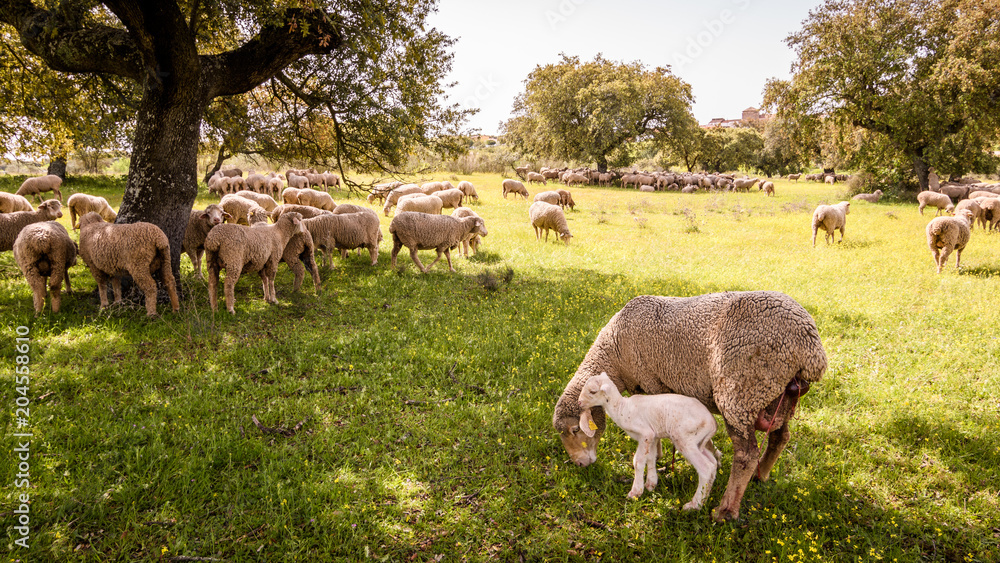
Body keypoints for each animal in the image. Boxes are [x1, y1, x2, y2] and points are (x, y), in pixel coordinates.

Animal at [578, 373, 721, 509]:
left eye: (592, 391)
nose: (579, 403)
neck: (621, 409)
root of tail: (713, 424)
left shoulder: (645, 433)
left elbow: (638, 461)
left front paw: (636, 492)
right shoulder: (653, 435)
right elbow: (651, 457)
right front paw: (651, 484)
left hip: (684, 437)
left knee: (706, 468)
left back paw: (694, 505)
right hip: (698, 440)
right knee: (713, 463)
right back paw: (705, 499)